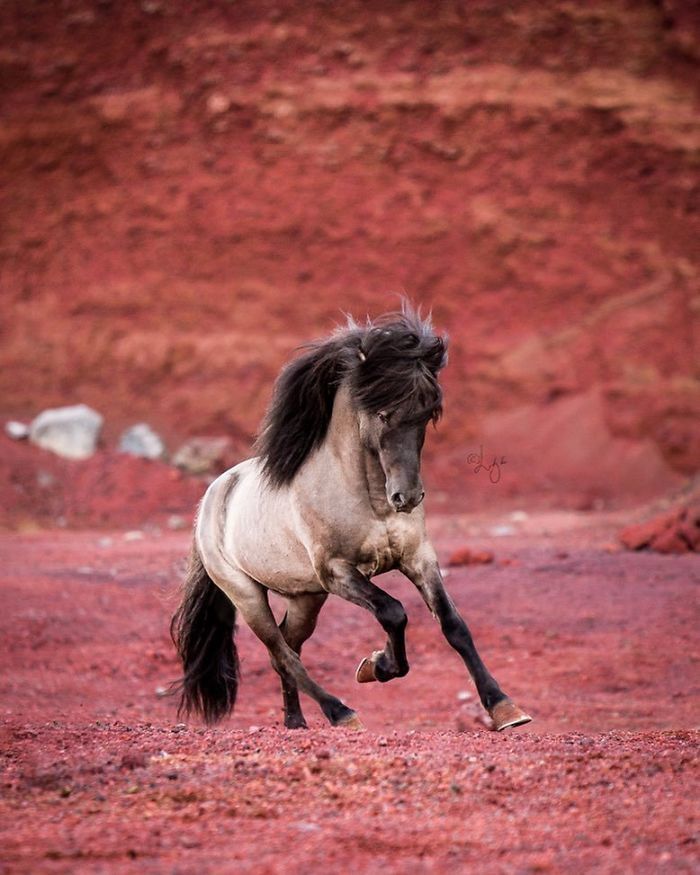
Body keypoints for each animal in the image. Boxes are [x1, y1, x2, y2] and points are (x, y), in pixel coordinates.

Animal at [171, 306, 532, 732]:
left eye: (428, 414)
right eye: (382, 413)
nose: (407, 497)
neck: (371, 499)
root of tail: (213, 496)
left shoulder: (418, 558)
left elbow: (453, 625)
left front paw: (505, 707)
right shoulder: (338, 572)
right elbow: (393, 612)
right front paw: (377, 667)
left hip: (305, 597)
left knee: (289, 646)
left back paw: (296, 722)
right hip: (247, 595)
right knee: (281, 652)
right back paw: (341, 712)